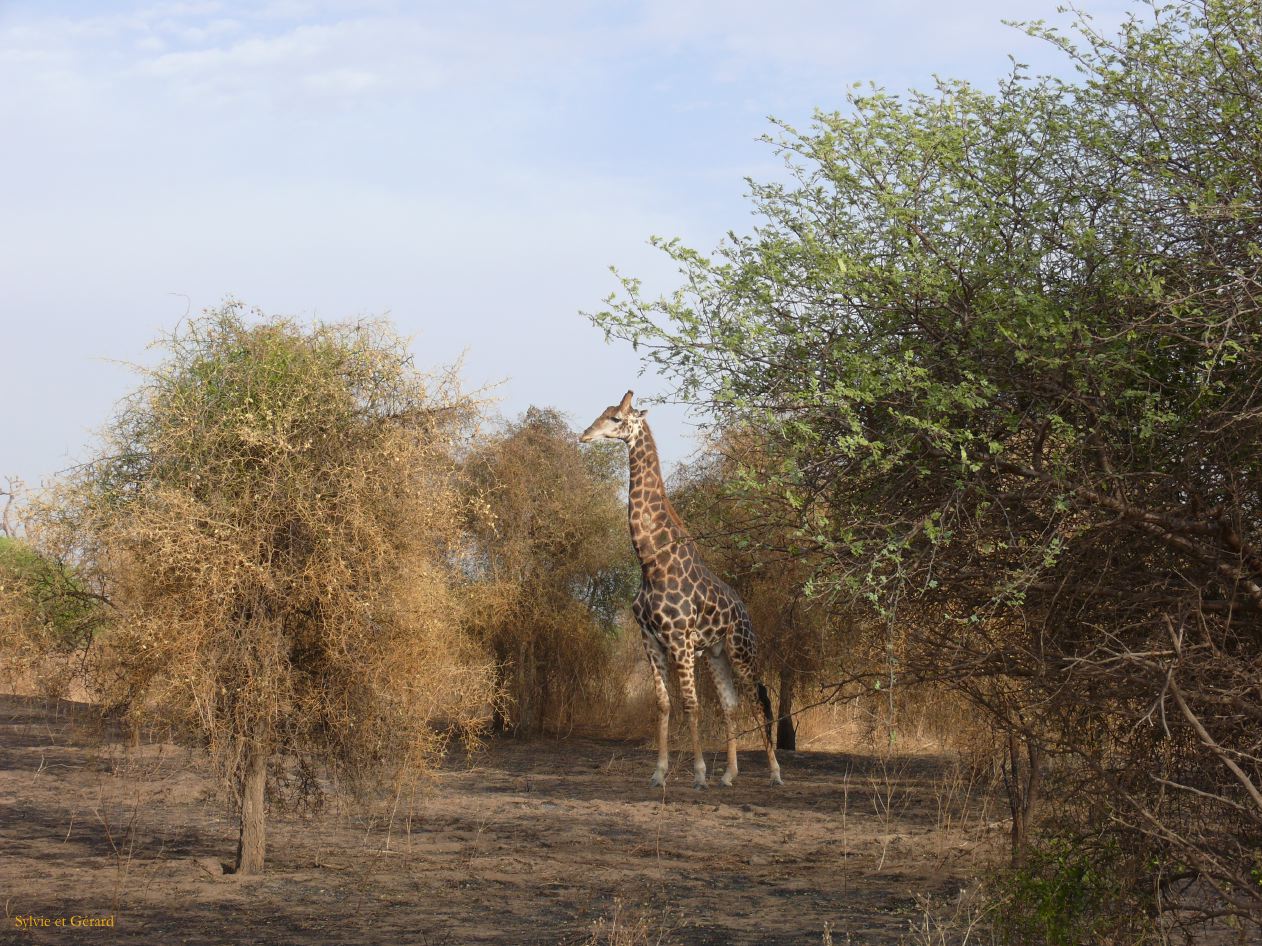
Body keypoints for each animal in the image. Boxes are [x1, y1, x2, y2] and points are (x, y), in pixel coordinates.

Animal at [580, 391, 783, 789]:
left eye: (616, 418)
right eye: (602, 413)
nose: (585, 435)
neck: (651, 563)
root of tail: (745, 610)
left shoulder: (680, 639)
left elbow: (691, 705)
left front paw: (699, 774)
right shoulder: (651, 639)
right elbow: (664, 704)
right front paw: (659, 773)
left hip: (741, 649)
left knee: (759, 698)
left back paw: (775, 772)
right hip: (717, 653)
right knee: (731, 704)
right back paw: (730, 775)